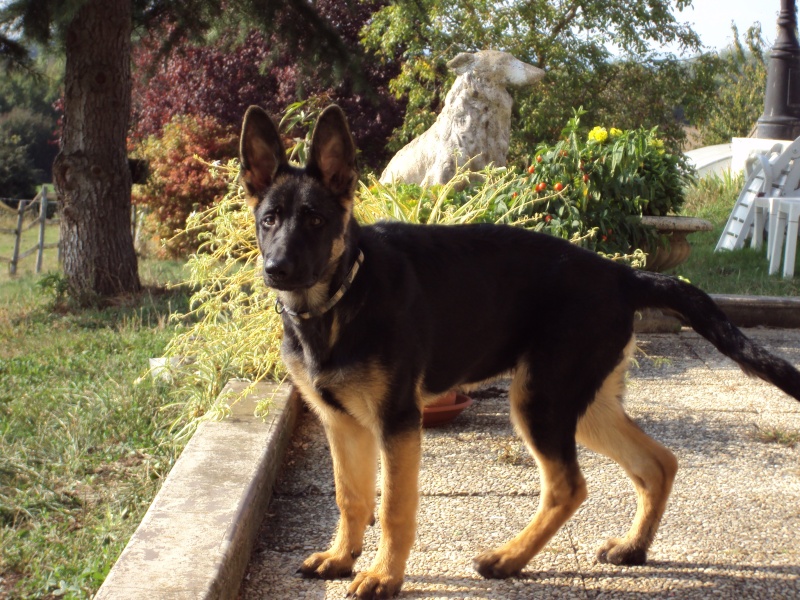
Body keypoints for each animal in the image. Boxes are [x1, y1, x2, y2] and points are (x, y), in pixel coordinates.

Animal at [238, 105, 800, 596]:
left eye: (315, 221)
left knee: (569, 486)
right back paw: (633, 548)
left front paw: (383, 577)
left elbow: (395, 507)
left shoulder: (397, 422)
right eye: (269, 220)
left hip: (541, 399)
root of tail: (621, 275)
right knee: (658, 462)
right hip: (583, 403)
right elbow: (350, 496)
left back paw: (509, 558)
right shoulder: (341, 422)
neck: (341, 296)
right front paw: (341, 558)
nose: (276, 270)